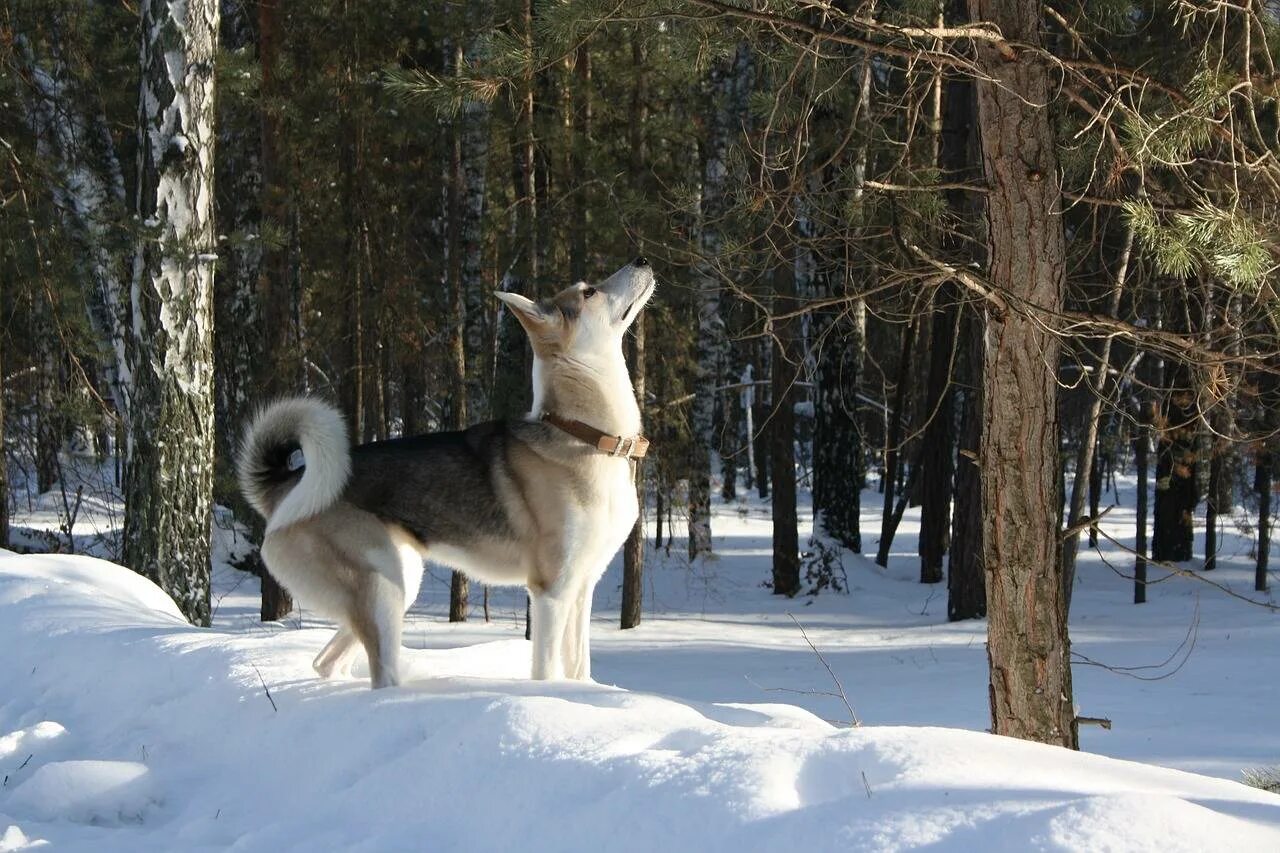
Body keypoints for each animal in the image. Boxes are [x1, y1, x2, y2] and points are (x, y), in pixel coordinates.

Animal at [236, 257, 655, 686]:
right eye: (588, 291)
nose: (641, 260)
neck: (585, 436)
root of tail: (287, 484)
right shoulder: (551, 591)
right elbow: (546, 672)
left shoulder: (582, 587)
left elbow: (578, 668)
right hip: (382, 589)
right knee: (380, 672)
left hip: (401, 582)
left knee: (327, 662)